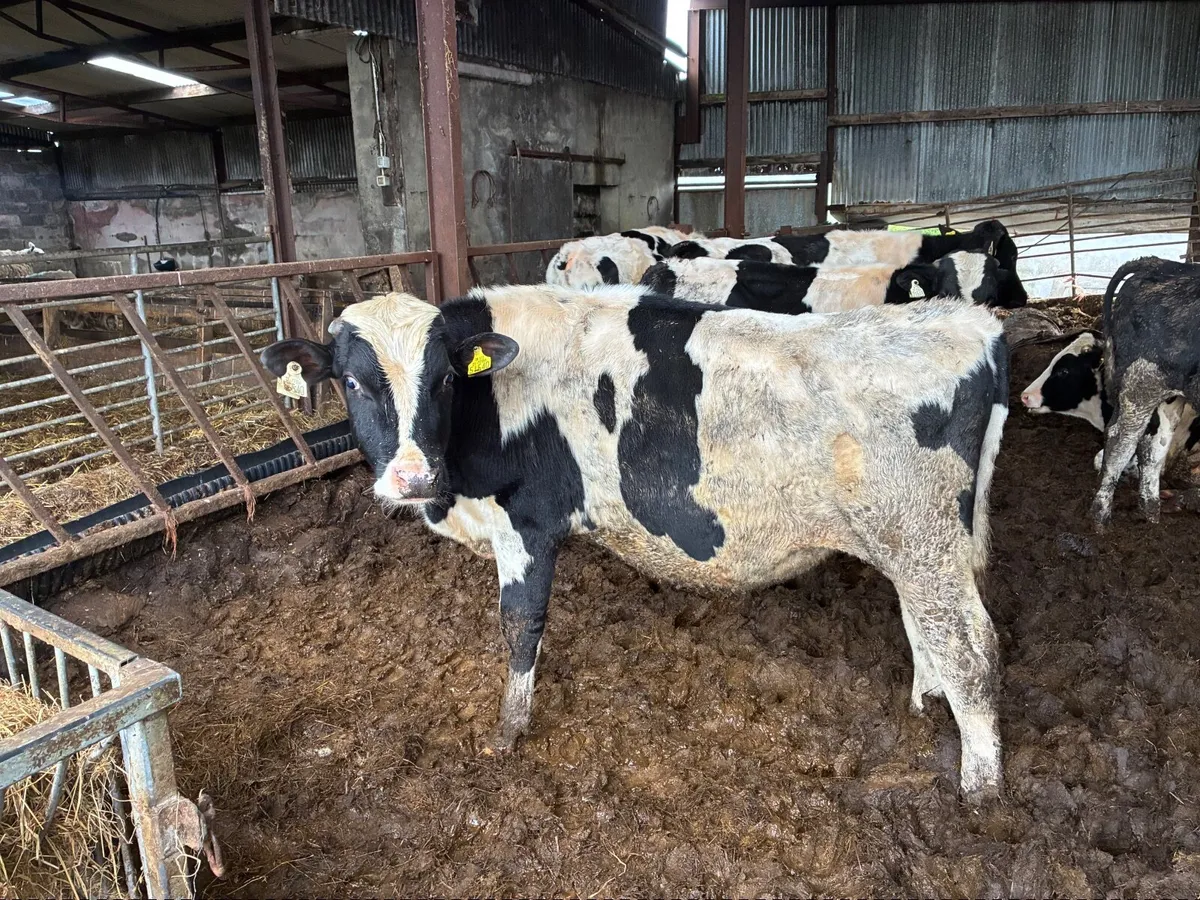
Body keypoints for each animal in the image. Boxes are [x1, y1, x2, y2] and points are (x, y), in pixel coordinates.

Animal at [262, 285, 1011, 801]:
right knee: (930, 630)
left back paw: (980, 787)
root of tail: (973, 322)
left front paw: (508, 730)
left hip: (923, 539)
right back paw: (925, 704)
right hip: (920, 545)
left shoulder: (526, 521)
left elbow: (520, 623)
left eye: (444, 378)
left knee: (971, 647)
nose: (412, 476)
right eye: (352, 381)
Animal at [1090, 257, 1200, 527]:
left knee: (1154, 444)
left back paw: (1151, 513)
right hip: (1141, 382)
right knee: (1121, 441)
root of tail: (1158, 265)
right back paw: (1101, 518)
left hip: (1169, 395)